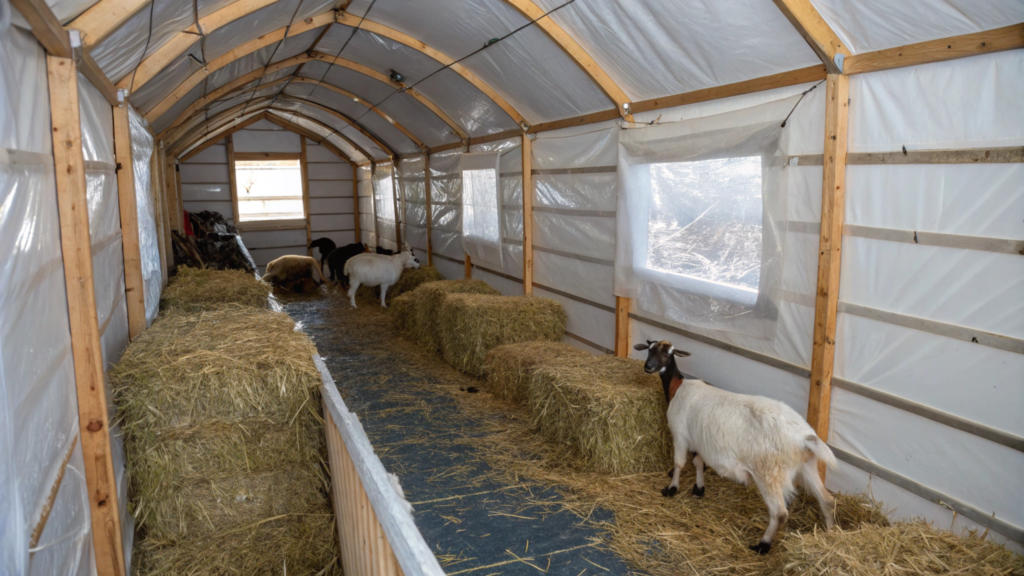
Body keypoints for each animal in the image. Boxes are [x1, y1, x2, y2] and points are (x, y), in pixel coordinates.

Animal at [630, 338, 839, 553]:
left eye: (668, 353)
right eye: (650, 349)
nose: (648, 367)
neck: (677, 387)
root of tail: (803, 437)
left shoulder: (680, 434)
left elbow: (679, 464)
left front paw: (671, 489)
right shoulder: (701, 442)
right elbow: (698, 463)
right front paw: (698, 489)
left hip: (769, 474)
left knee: (779, 513)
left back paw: (762, 544)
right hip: (808, 465)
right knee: (827, 500)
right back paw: (830, 533)